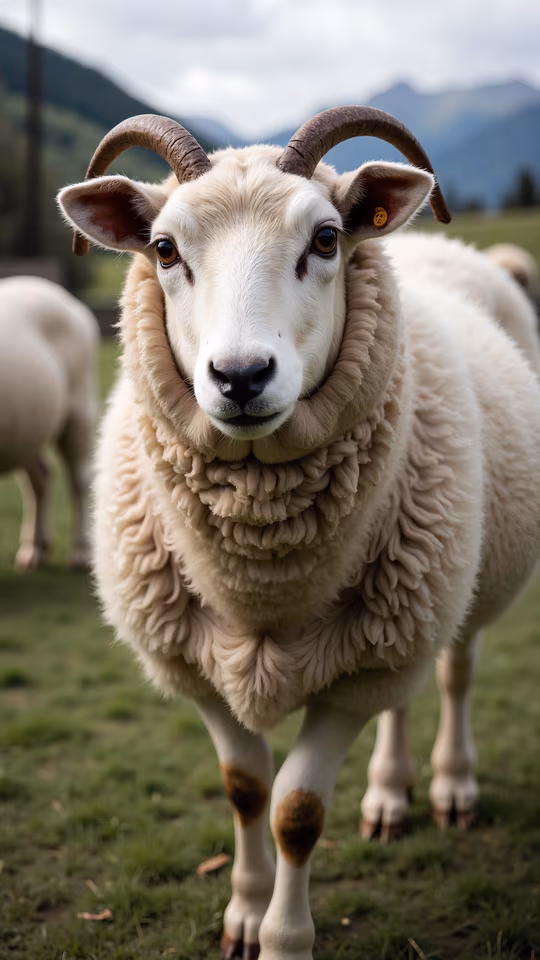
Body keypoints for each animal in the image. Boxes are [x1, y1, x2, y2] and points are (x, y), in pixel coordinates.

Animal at [0, 276, 99, 569]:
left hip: (79, 408)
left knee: (80, 478)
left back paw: (81, 552)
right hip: (27, 430)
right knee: (40, 477)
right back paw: (34, 549)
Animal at [58, 107, 540, 960]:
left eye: (325, 239)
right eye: (164, 248)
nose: (241, 376)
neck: (261, 578)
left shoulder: (354, 678)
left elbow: (296, 812)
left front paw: (284, 938)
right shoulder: (196, 662)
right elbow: (247, 789)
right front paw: (245, 915)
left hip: (447, 590)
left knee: (455, 674)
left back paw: (450, 784)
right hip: (396, 620)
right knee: (404, 699)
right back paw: (388, 795)